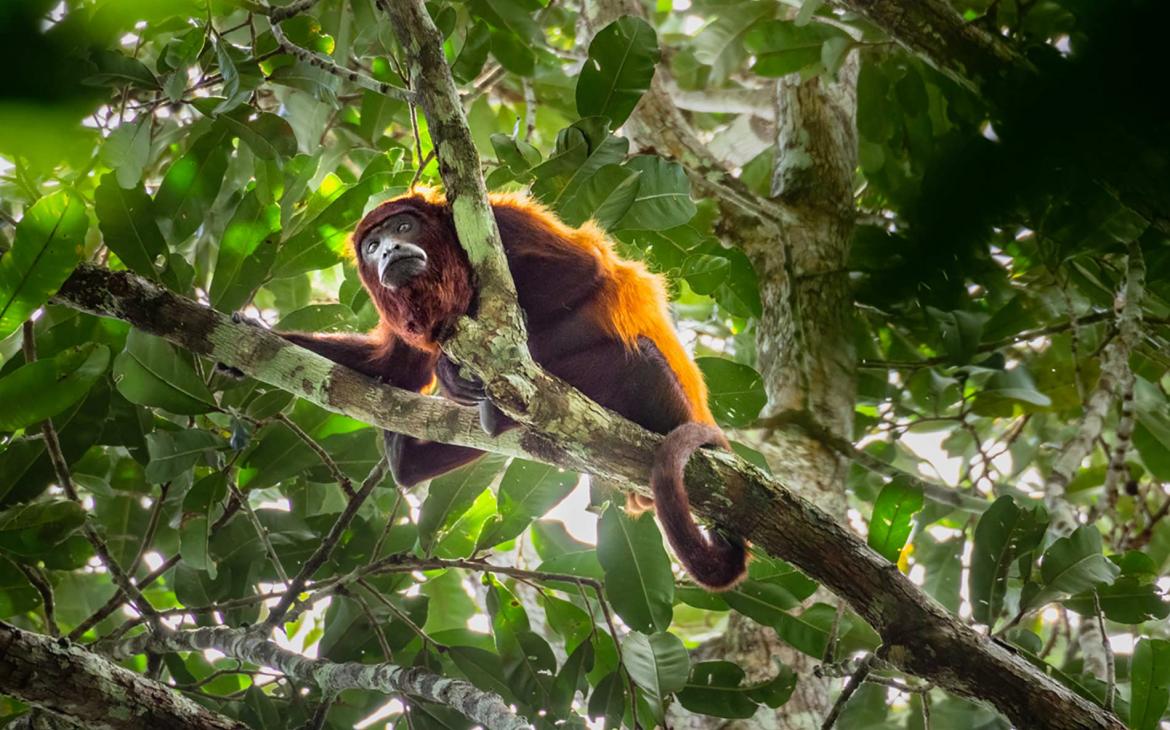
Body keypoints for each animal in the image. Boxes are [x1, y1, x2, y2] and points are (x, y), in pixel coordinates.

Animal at [278, 190, 744, 589]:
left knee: (640, 360)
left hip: (664, 403)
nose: (389, 251)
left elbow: (582, 272)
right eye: (372, 246)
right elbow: (395, 368)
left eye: (404, 228)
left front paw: (451, 367)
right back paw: (406, 457)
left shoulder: (504, 223)